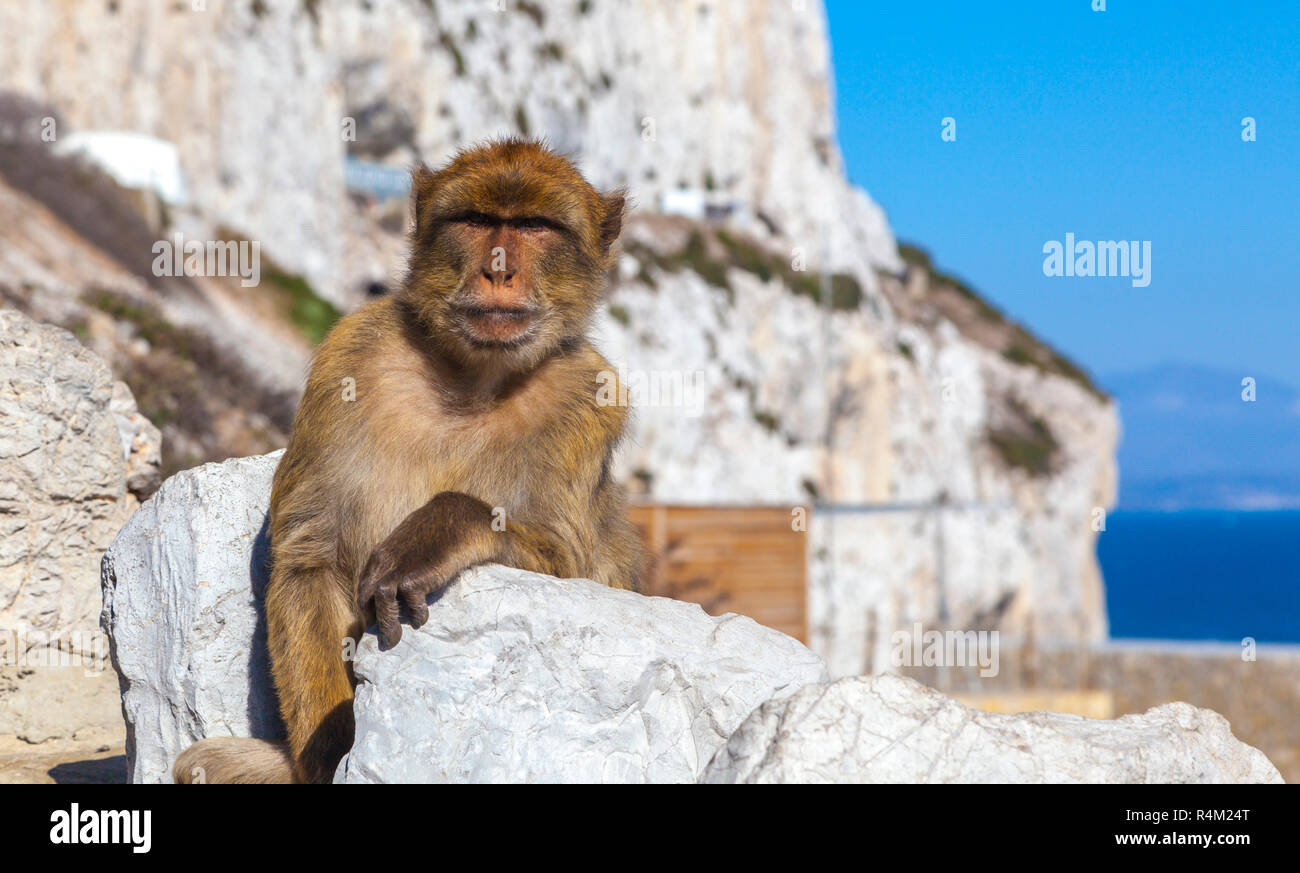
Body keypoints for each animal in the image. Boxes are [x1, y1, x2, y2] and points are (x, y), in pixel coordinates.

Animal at [172, 138, 644, 784]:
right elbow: (310, 560)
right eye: (476, 221)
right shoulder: (351, 356)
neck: (473, 379)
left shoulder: (590, 400)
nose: (499, 268)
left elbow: (574, 565)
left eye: (534, 226)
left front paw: (441, 530)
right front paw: (333, 749)